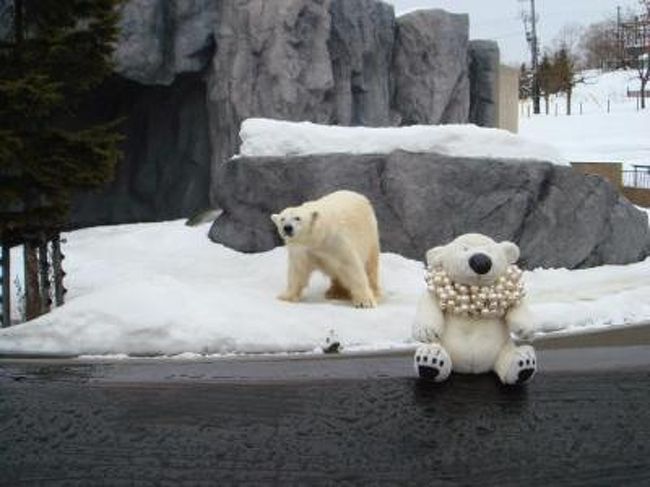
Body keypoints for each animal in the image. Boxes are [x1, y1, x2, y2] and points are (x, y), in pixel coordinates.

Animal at [412, 234, 536, 386]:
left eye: (489, 250)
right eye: (465, 248)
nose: (481, 261)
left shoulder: (513, 298)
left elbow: (517, 306)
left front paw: (527, 329)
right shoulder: (434, 295)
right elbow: (429, 302)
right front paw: (425, 331)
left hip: (501, 348)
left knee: (508, 359)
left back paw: (523, 362)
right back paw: (430, 360)